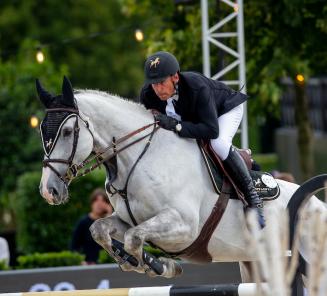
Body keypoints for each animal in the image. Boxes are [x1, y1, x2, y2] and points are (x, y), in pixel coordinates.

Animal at [37, 77, 326, 284]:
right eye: (42, 130)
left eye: (68, 131)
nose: (48, 191)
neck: (139, 157)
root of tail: (317, 205)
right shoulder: (128, 219)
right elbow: (100, 230)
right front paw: (138, 262)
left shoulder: (184, 226)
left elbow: (133, 237)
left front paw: (158, 265)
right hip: (256, 264)